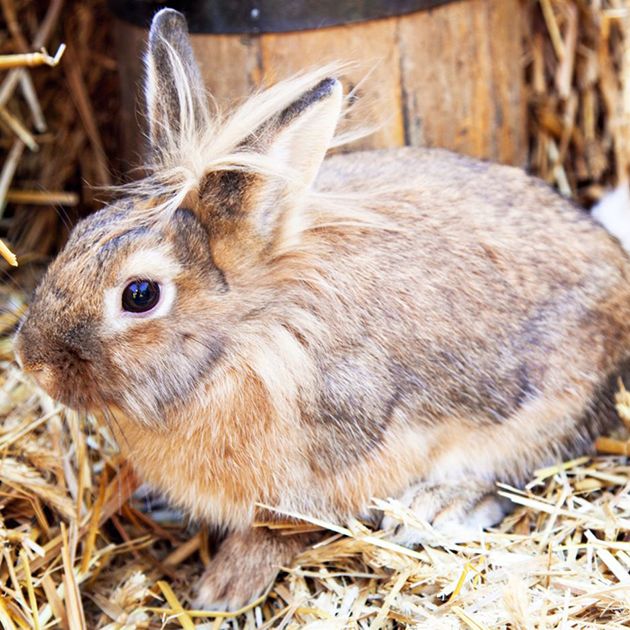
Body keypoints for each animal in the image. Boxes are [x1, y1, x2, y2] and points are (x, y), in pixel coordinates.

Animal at [12, 8, 630, 612]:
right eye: (83, 232)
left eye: (139, 295)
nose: (29, 360)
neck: (242, 340)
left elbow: (278, 531)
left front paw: (223, 590)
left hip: (543, 408)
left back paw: (436, 507)